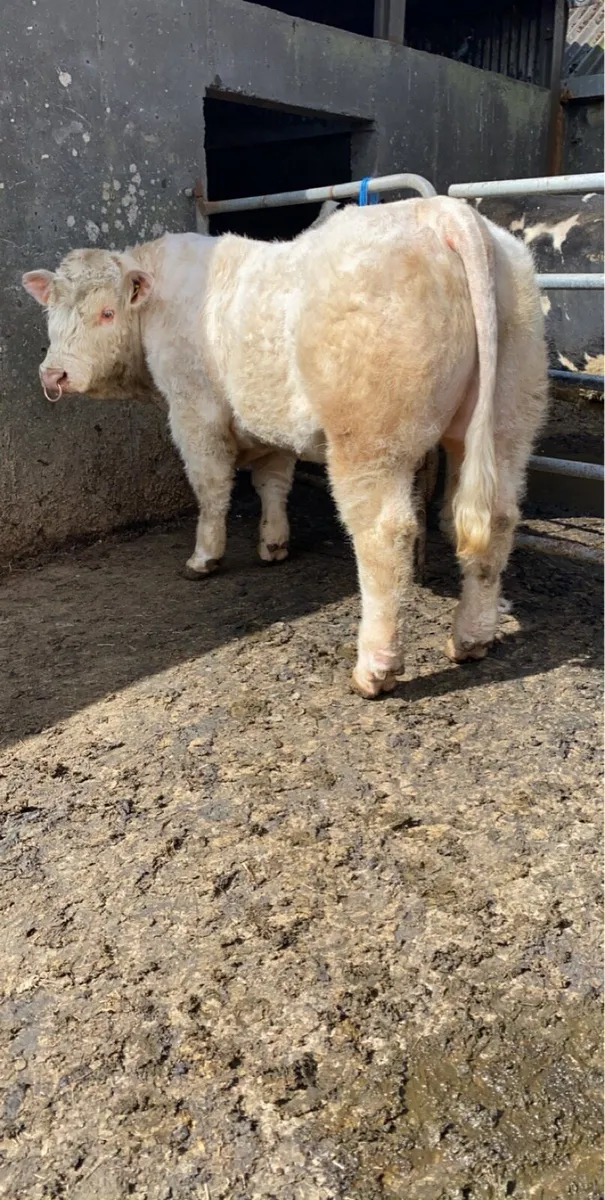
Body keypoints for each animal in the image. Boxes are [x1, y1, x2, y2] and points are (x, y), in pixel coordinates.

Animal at [23, 196, 548, 698]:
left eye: (106, 313)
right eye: (52, 312)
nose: (54, 374)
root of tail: (442, 210)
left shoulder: (194, 411)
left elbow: (211, 488)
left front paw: (204, 558)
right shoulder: (266, 421)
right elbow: (273, 480)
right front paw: (273, 542)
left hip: (370, 439)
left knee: (384, 535)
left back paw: (375, 669)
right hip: (509, 412)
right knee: (496, 518)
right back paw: (471, 637)